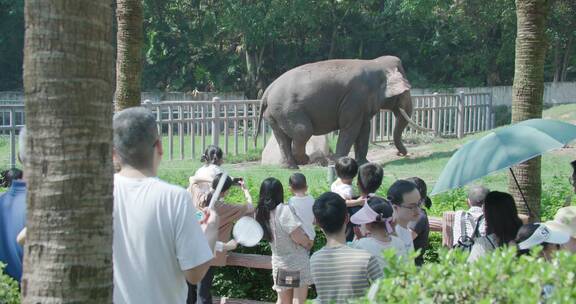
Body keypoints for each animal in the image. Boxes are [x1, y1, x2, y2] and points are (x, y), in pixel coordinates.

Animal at [255, 54, 428, 169]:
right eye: (407, 90)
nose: (402, 154)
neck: (376, 63)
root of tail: (267, 92)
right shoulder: (355, 98)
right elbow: (350, 128)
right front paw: (341, 162)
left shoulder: (361, 104)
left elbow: (364, 130)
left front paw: (364, 163)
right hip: (287, 110)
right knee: (302, 131)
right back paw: (305, 161)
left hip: (274, 114)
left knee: (282, 138)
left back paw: (290, 167)